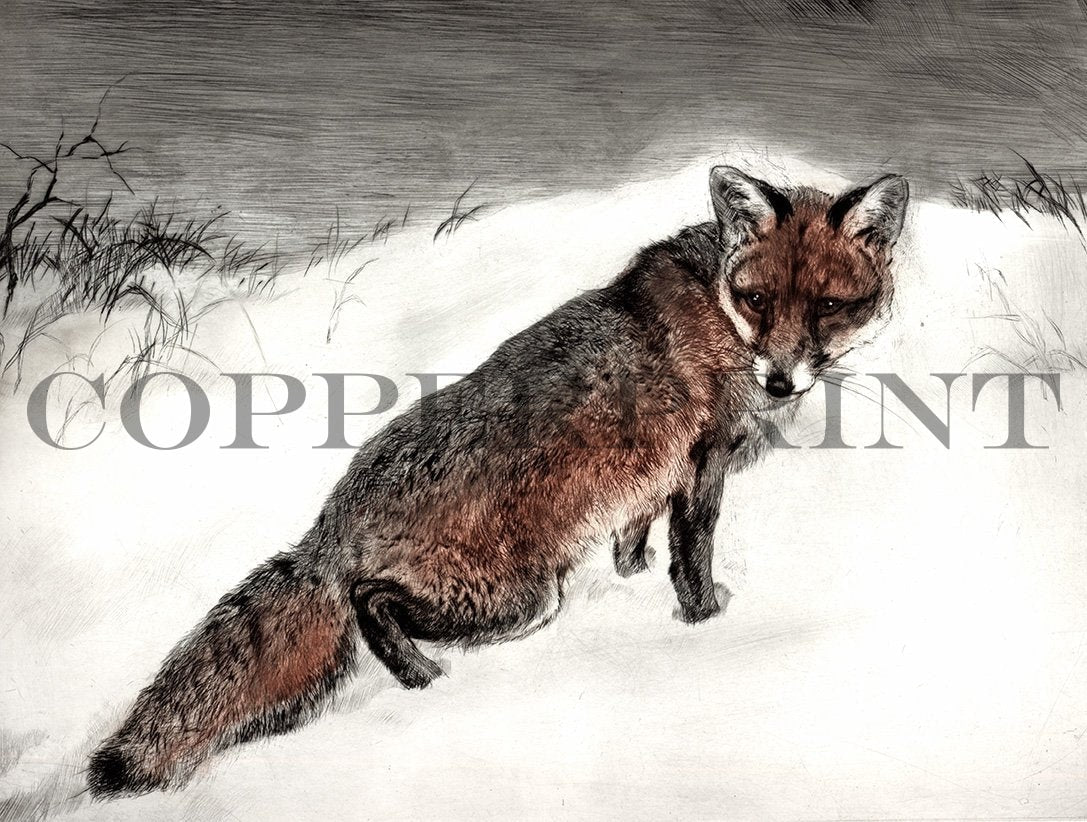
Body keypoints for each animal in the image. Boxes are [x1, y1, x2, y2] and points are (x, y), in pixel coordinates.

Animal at [87, 165, 908, 796]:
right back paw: (425, 679)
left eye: (828, 305)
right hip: (519, 599)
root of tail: (331, 527)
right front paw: (705, 626)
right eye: (758, 299)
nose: (779, 381)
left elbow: (632, 547)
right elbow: (693, 560)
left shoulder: (647, 483)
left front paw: (634, 582)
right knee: (369, 602)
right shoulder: (700, 468)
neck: (716, 306)